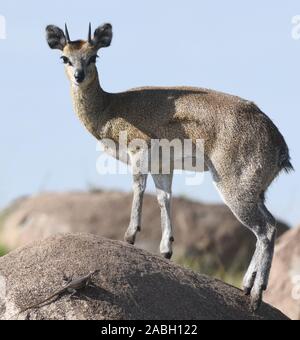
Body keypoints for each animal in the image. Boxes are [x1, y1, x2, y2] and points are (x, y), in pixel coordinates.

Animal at [45, 21, 292, 310]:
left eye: (93, 56)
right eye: (65, 57)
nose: (79, 76)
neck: (110, 108)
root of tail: (279, 143)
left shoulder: (138, 151)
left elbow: (138, 188)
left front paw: (130, 236)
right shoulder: (163, 166)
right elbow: (164, 198)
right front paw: (166, 249)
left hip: (234, 187)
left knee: (266, 229)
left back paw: (255, 293)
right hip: (256, 191)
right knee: (268, 226)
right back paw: (246, 286)